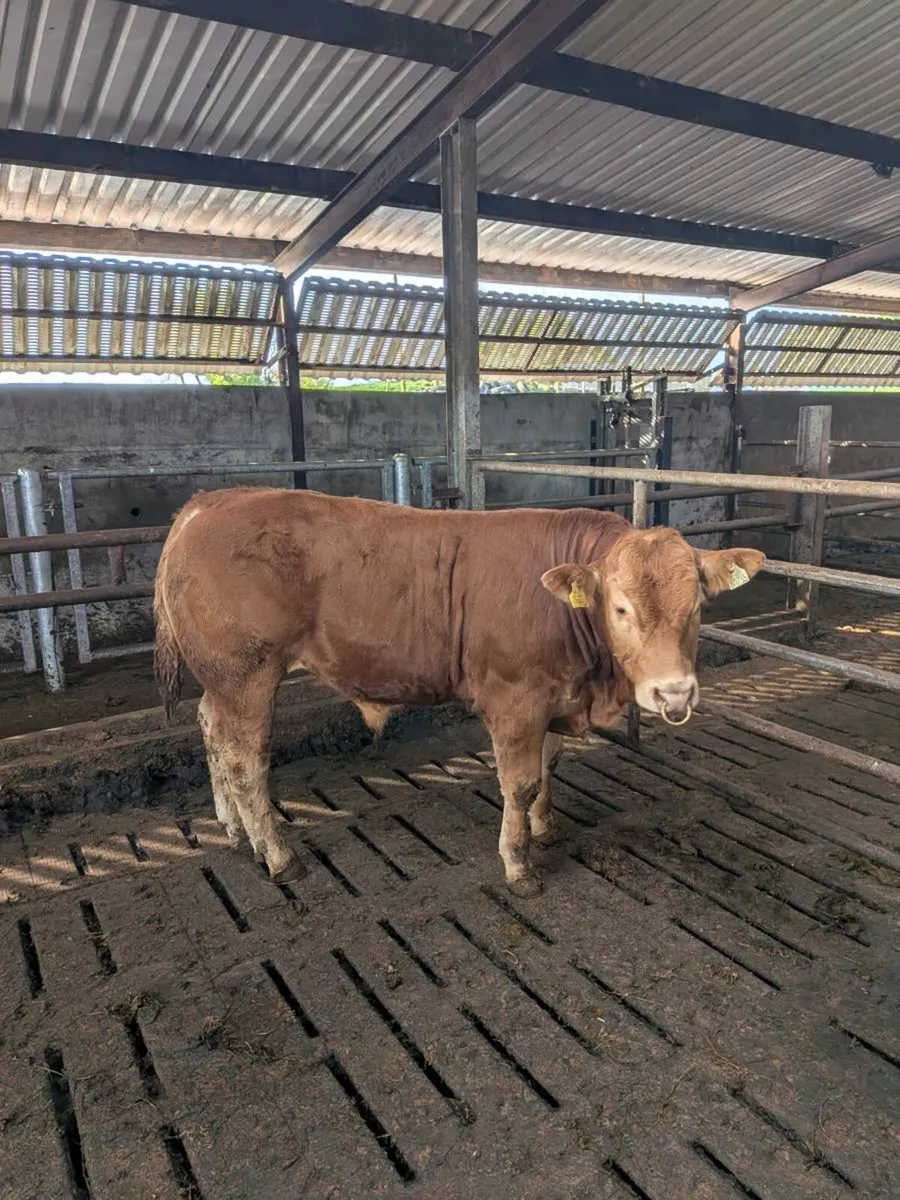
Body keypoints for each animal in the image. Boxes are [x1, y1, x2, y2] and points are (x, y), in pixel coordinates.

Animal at [153, 488, 765, 896]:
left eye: (698, 606)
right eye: (620, 609)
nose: (673, 693)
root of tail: (209, 502)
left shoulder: (554, 697)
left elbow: (548, 764)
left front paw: (545, 827)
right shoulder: (516, 700)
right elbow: (519, 783)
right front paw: (519, 864)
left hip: (223, 682)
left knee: (210, 729)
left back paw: (234, 829)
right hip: (247, 675)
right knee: (245, 763)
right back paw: (278, 855)